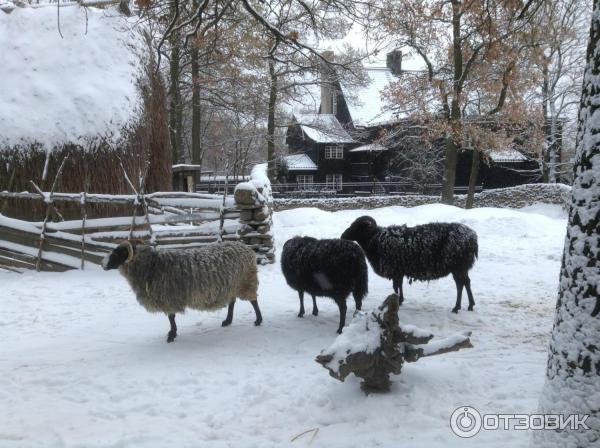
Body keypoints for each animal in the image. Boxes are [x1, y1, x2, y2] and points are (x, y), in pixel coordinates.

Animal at [342, 215, 478, 314]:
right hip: (461, 267)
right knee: (466, 282)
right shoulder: (400, 271)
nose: (342, 236)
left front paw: (397, 300)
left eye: (357, 227)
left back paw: (456, 307)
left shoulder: (396, 270)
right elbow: (399, 286)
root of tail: (473, 237)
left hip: (458, 267)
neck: (376, 240)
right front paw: (400, 300)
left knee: (460, 284)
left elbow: (396, 287)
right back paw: (470, 305)